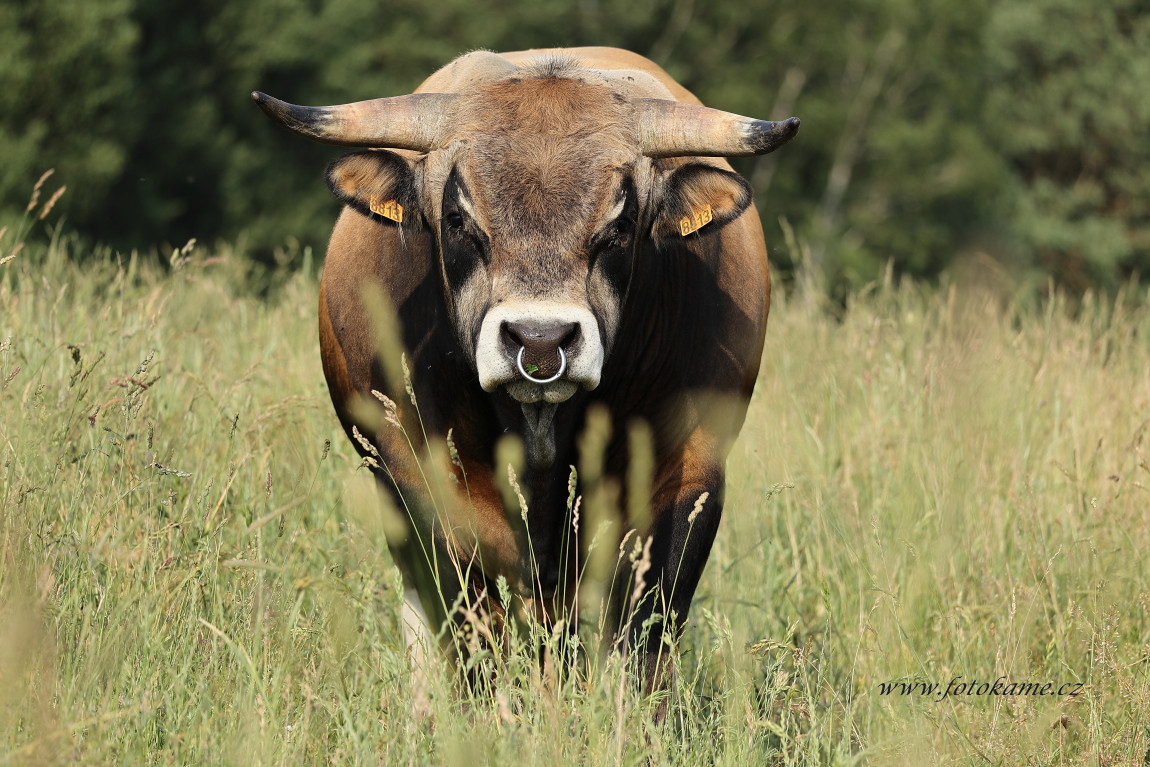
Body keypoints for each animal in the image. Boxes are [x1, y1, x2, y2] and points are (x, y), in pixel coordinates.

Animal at [253, 45, 795, 699]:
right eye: (458, 219)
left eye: (619, 226)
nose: (540, 341)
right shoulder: (424, 483)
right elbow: (472, 630)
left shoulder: (687, 476)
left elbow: (644, 631)